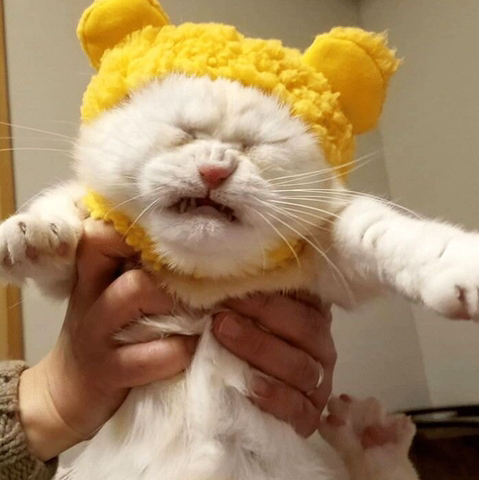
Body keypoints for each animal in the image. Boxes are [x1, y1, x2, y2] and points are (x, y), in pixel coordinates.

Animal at [6, 72, 479, 480]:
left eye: (253, 146)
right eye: (187, 133)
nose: (215, 170)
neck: (202, 279)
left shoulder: (334, 256)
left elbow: (390, 235)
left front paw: (458, 267)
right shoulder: (80, 259)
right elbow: (63, 211)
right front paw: (32, 233)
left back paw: (372, 437)